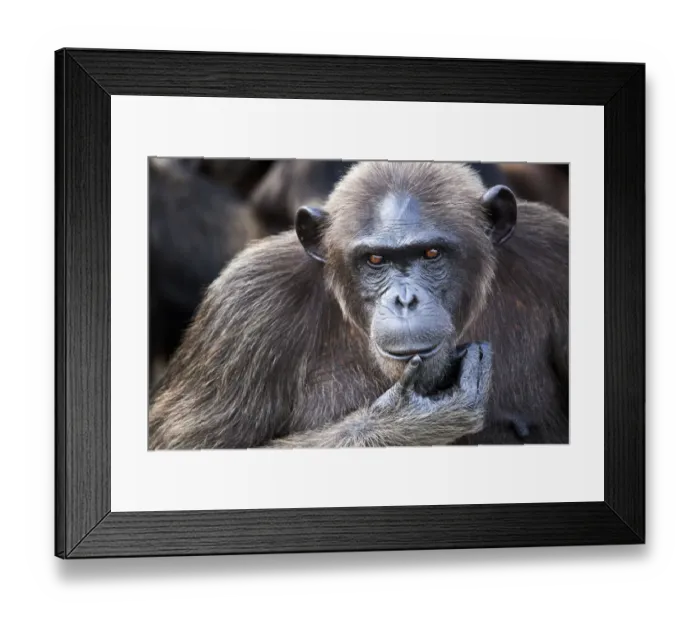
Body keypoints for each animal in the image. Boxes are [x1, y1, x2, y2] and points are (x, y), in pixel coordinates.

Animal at [148, 161, 568, 450]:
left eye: (431, 253)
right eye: (375, 260)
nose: (405, 299)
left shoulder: (557, 253)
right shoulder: (243, 307)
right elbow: (187, 446)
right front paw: (404, 422)